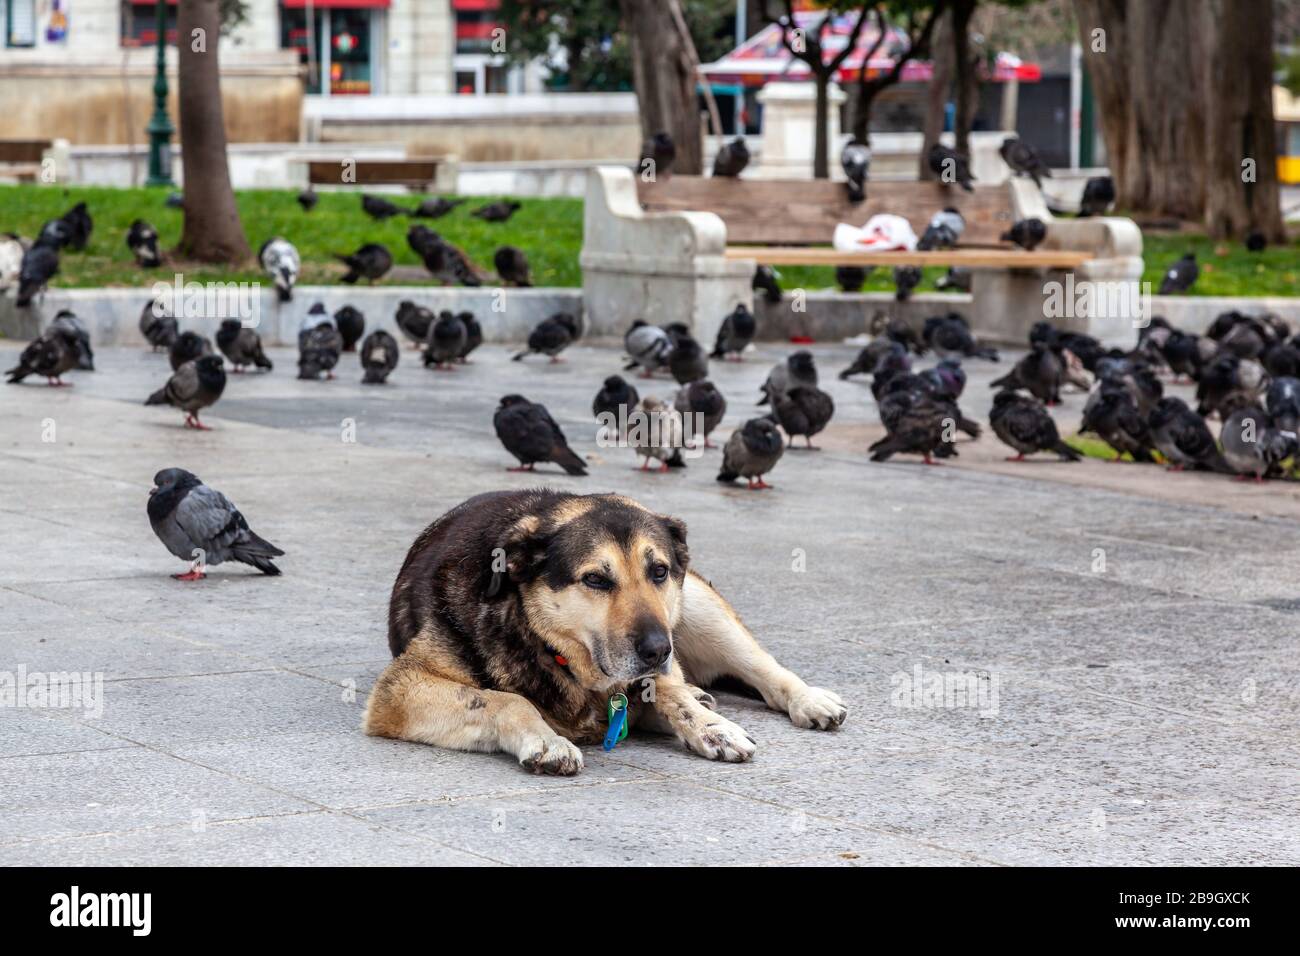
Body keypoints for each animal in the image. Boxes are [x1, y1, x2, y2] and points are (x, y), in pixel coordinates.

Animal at [361, 489, 847, 775]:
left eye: (659, 571)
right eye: (595, 579)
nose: (658, 650)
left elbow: (668, 691)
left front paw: (709, 726)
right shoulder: (401, 688)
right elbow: (506, 699)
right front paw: (546, 738)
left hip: (699, 607)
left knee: (762, 668)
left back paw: (806, 699)